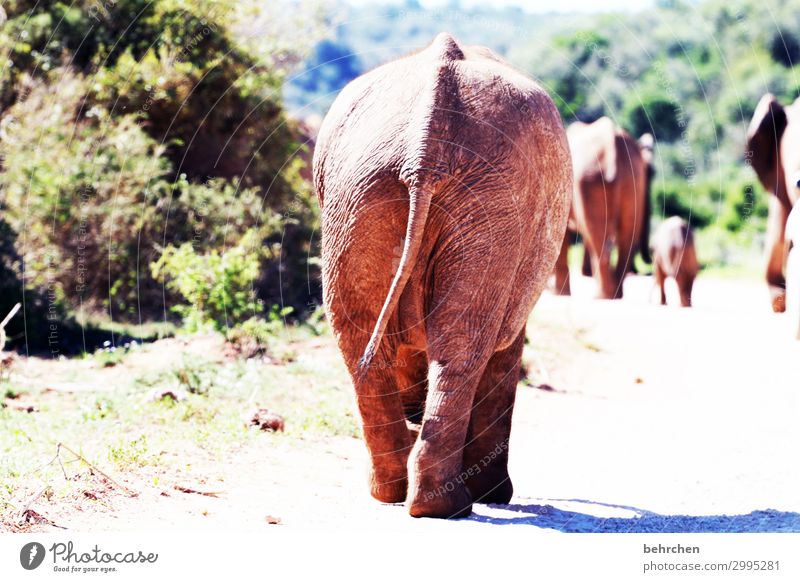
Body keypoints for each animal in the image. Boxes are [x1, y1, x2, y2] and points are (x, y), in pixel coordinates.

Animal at [314, 33, 576, 520]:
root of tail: (425, 145)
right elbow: (503, 348)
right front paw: (495, 495)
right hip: (450, 196)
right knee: (462, 344)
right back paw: (444, 504)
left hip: (367, 194)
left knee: (366, 339)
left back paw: (405, 497)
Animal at [552, 118, 652, 302]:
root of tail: (611, 146)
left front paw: (559, 295)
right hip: (633, 179)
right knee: (624, 234)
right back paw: (615, 295)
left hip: (588, 180)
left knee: (598, 236)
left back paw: (601, 296)